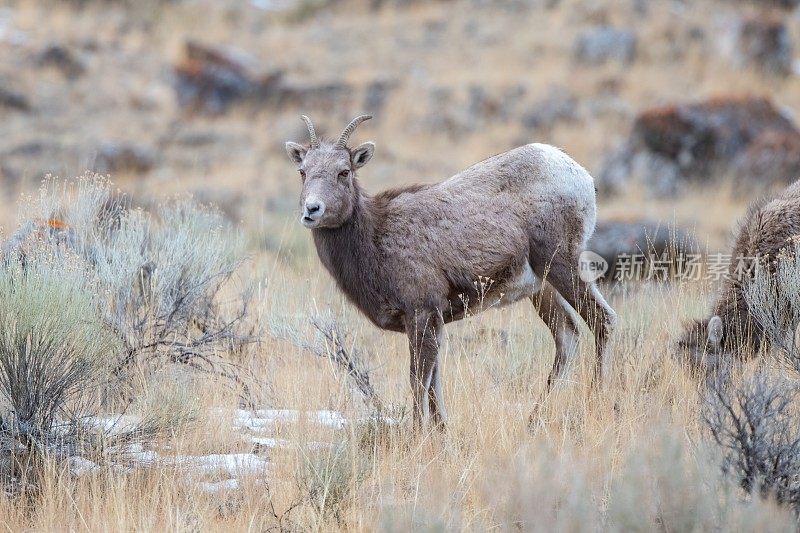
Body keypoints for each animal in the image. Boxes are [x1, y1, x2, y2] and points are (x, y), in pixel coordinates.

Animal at [288, 113, 620, 428]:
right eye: (303, 172)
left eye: (344, 172)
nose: (312, 210)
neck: (376, 237)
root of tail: (579, 174)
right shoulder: (433, 321)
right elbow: (434, 383)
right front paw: (441, 432)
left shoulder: (421, 314)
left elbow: (418, 380)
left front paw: (417, 434)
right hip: (543, 289)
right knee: (568, 336)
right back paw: (533, 418)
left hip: (563, 265)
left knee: (602, 320)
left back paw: (596, 402)